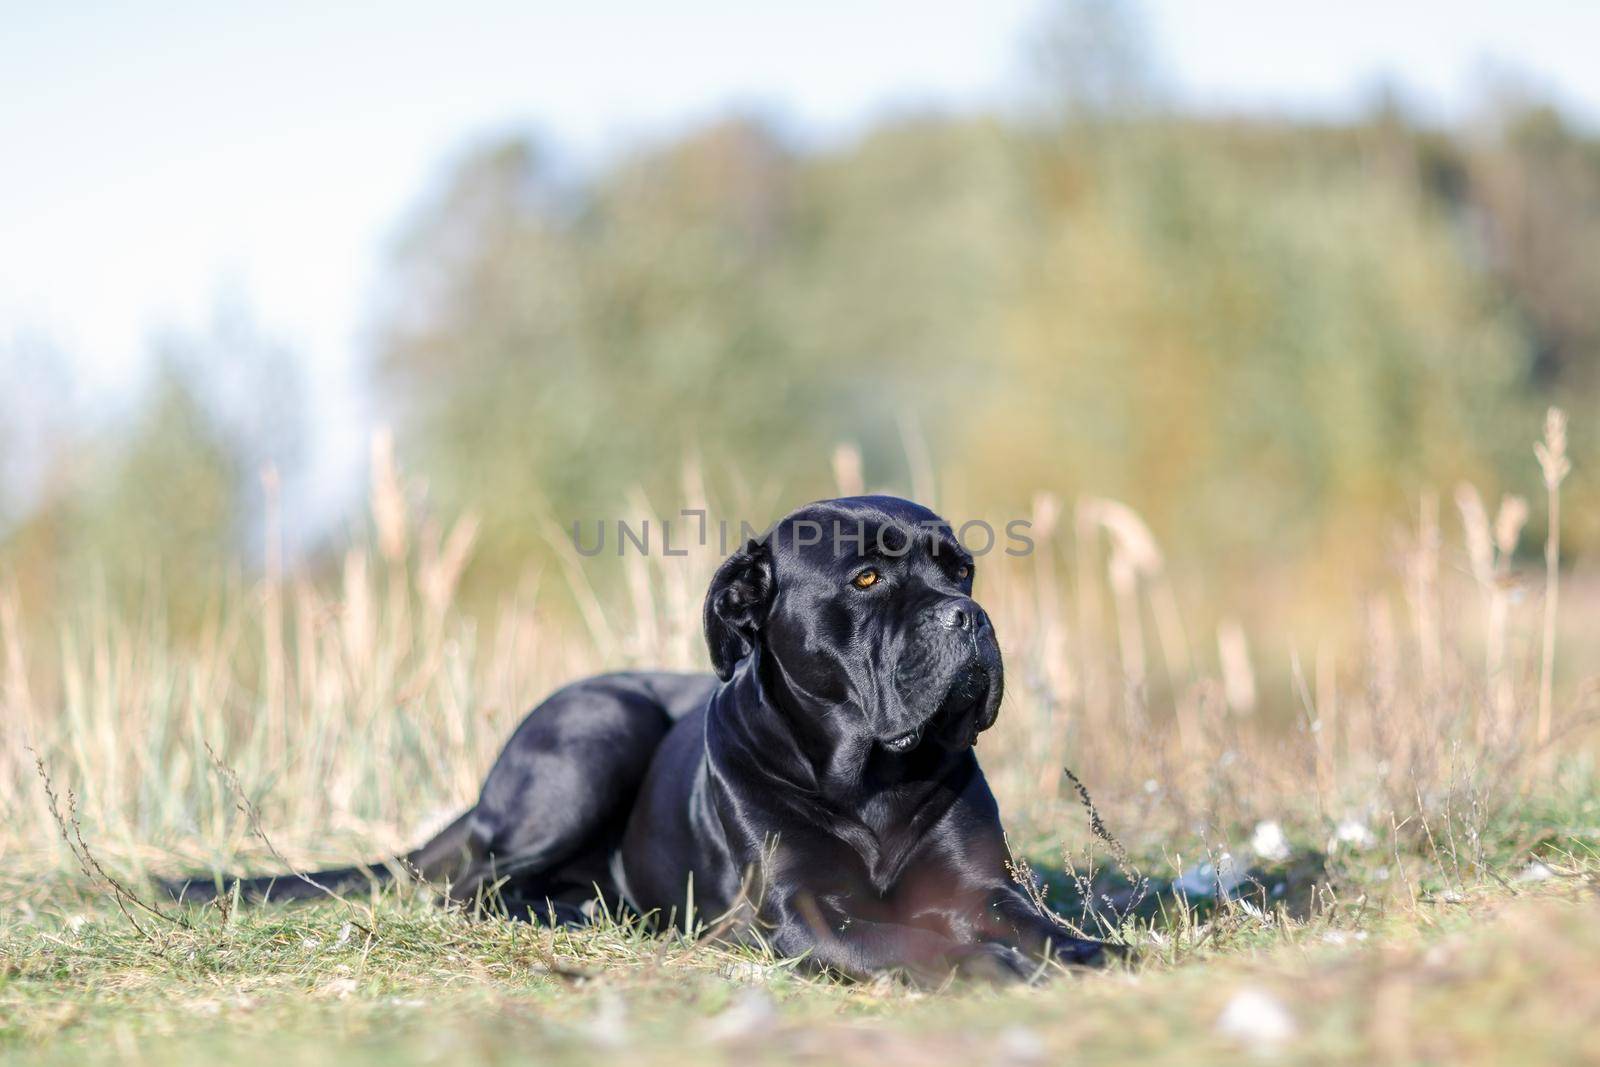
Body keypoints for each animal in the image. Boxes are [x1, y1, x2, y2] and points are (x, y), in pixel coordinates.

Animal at [168, 499, 1107, 985]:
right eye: (868, 577)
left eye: (963, 570)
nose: (968, 615)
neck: (872, 777)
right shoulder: (798, 909)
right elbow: (915, 942)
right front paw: (998, 967)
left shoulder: (982, 883)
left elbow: (1033, 920)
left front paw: (1094, 951)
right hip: (600, 730)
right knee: (473, 886)